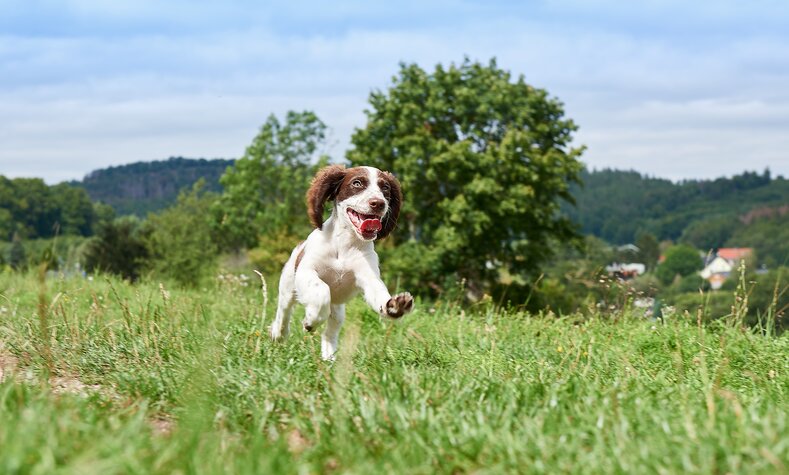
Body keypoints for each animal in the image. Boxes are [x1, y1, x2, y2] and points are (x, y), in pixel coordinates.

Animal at [270, 165, 416, 358]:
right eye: (357, 183)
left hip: (337, 311)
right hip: (288, 287)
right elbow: (322, 290)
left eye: (385, 188)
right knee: (284, 312)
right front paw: (311, 320)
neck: (345, 244)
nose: (378, 203)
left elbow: (379, 294)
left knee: (330, 332)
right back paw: (279, 334)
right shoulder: (306, 271)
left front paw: (395, 306)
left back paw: (329, 358)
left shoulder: (368, 277)